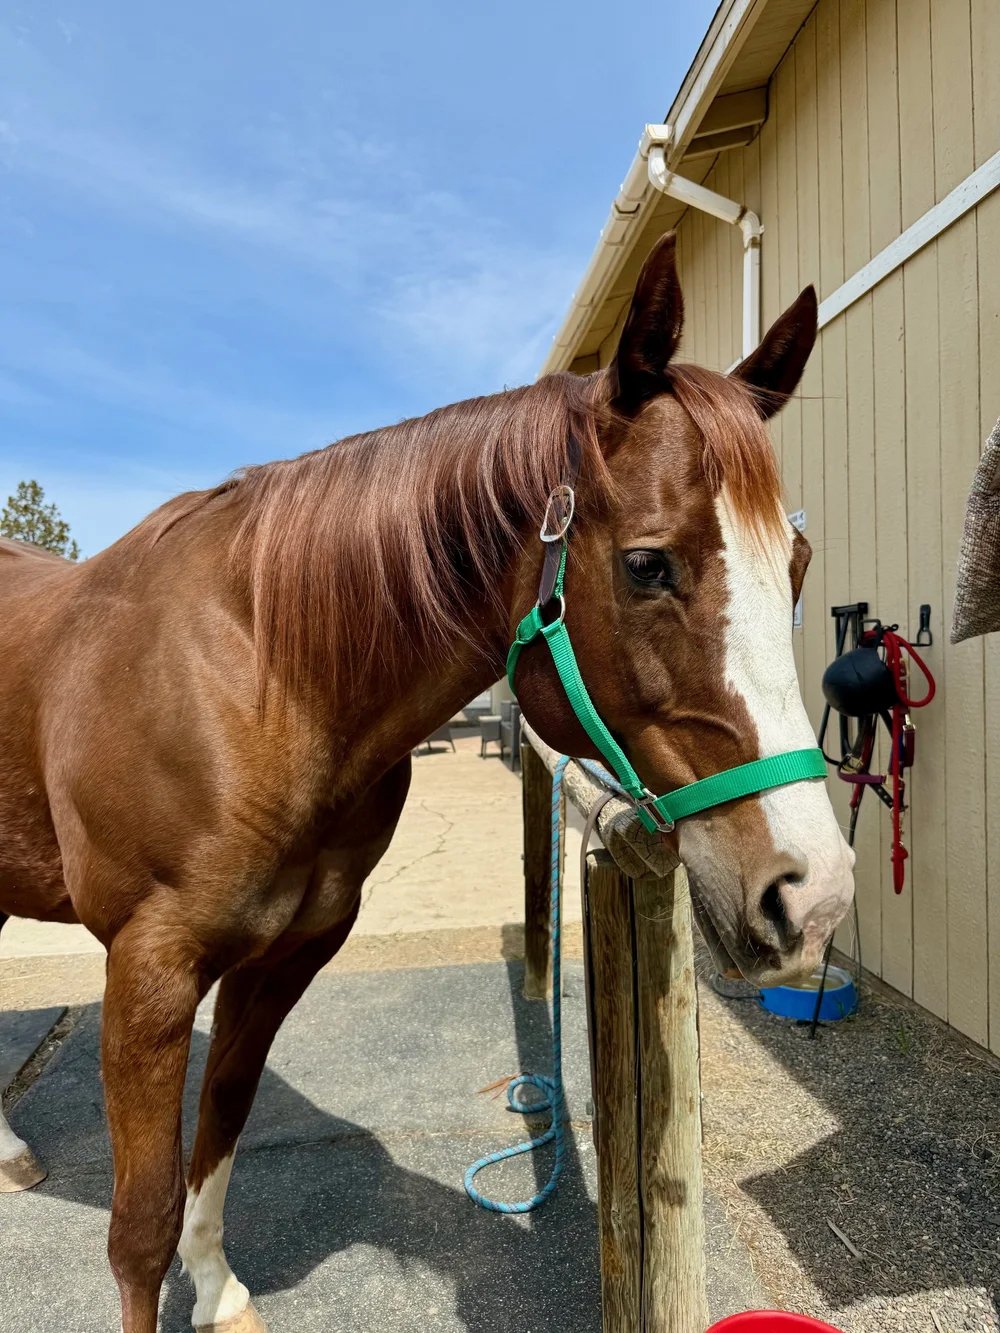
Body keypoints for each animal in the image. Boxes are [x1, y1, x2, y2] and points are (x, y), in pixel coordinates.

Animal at [0, 233, 854, 1333]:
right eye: (647, 564)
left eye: (796, 563)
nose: (813, 894)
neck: (261, 675)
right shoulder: (147, 969)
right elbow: (137, 1227)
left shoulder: (289, 952)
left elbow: (221, 1129)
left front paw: (222, 1287)